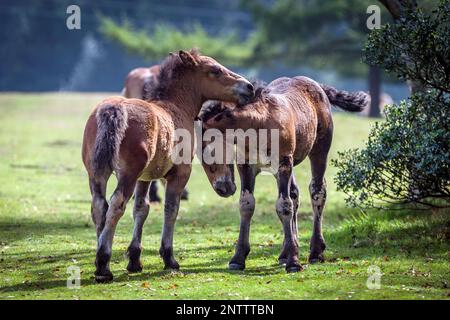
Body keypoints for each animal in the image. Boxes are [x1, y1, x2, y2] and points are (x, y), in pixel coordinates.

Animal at [81, 48, 253, 282]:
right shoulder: (179, 174)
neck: (176, 108)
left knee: (99, 206)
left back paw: (99, 258)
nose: (249, 87)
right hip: (126, 175)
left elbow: (141, 209)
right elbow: (171, 209)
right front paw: (169, 258)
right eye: (215, 70)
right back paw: (103, 265)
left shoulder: (144, 178)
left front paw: (134, 260)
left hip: (96, 173)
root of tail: (112, 109)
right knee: (116, 205)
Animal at [199, 76, 368, 272]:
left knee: (317, 191)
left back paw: (316, 252)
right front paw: (238, 258)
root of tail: (317, 85)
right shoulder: (246, 166)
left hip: (319, 150)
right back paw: (284, 253)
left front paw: (294, 262)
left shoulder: (284, 164)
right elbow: (246, 205)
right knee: (295, 194)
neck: (258, 125)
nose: (222, 189)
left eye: (209, 150)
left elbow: (284, 206)